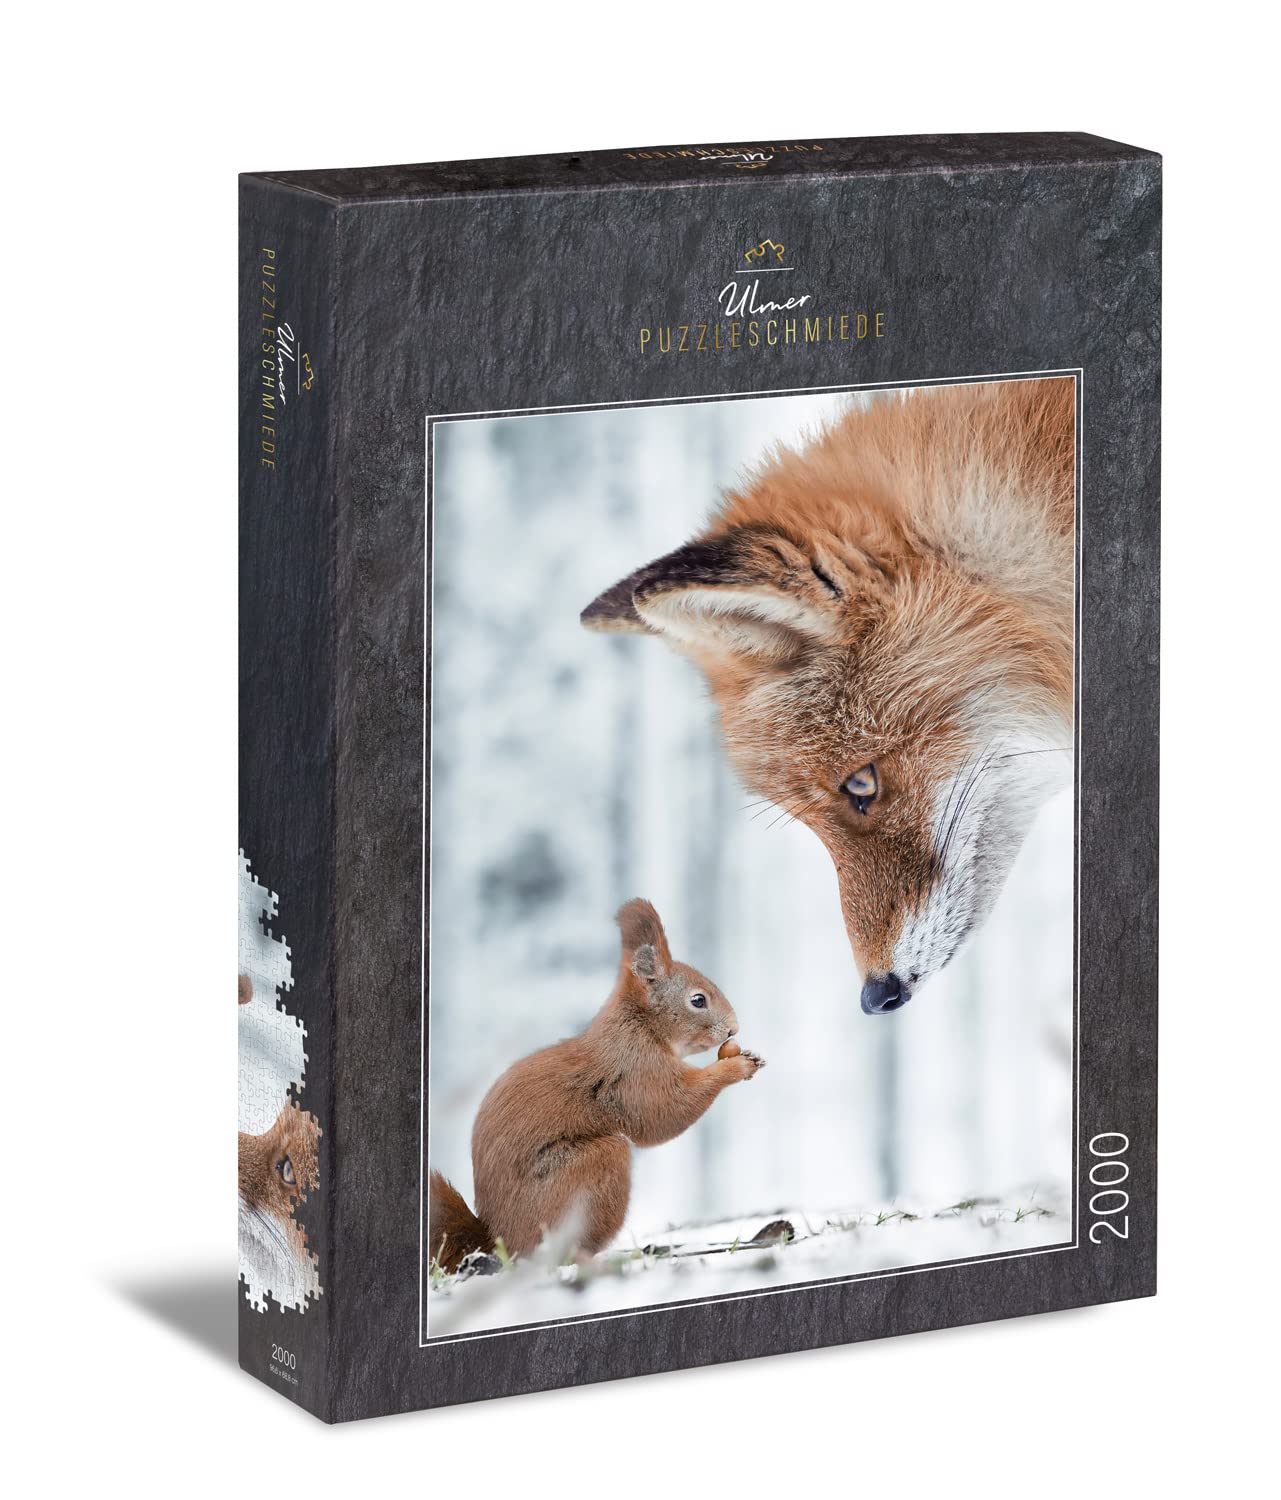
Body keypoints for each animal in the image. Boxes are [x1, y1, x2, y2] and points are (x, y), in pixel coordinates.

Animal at [429, 898, 765, 1272]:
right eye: (698, 1000)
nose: (734, 1029)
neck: (640, 1024)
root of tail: (502, 1242)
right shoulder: (635, 1070)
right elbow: (663, 1111)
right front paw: (734, 1067)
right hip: (592, 1168)